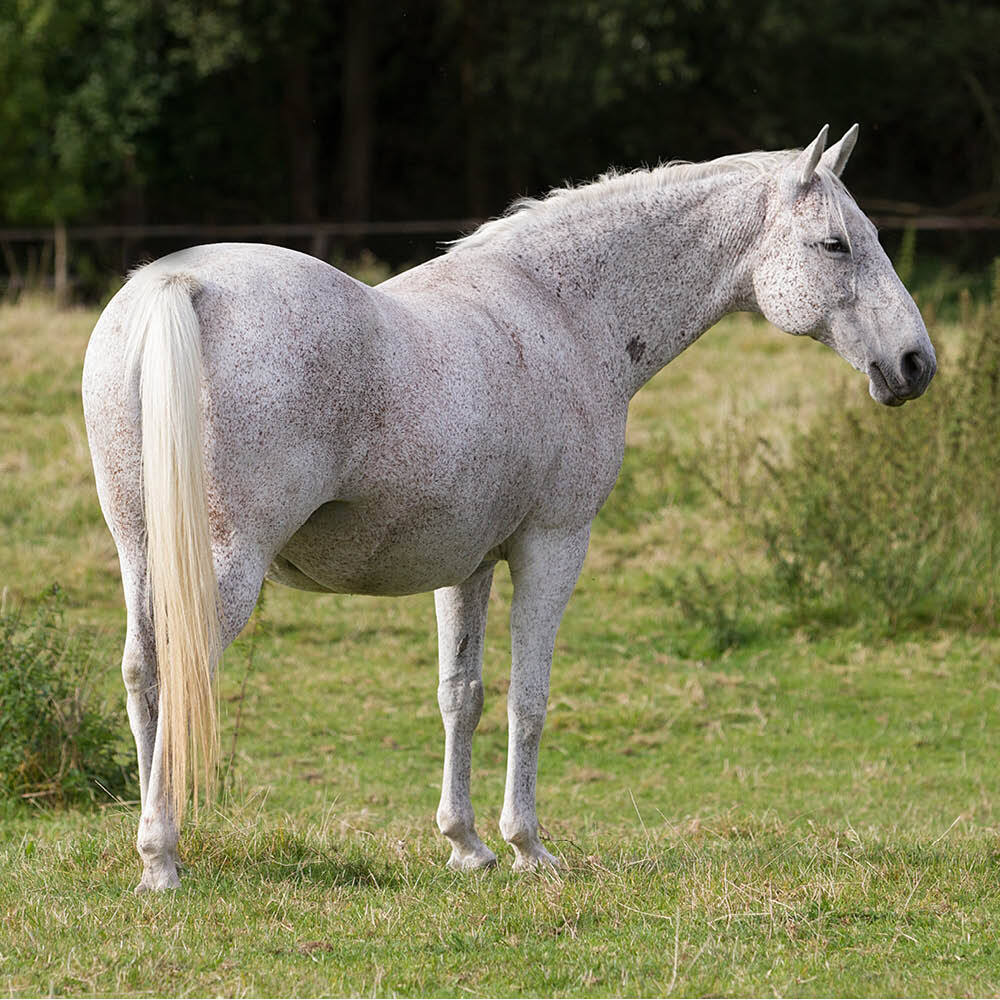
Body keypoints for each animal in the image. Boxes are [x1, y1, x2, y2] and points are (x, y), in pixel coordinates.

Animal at [82, 125, 935, 892]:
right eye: (835, 245)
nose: (915, 364)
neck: (562, 313)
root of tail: (181, 287)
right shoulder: (552, 548)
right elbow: (530, 698)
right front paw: (528, 847)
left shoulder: (466, 565)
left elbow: (461, 696)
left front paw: (466, 845)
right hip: (226, 564)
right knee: (181, 666)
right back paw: (163, 858)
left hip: (140, 553)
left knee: (142, 671)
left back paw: (159, 849)